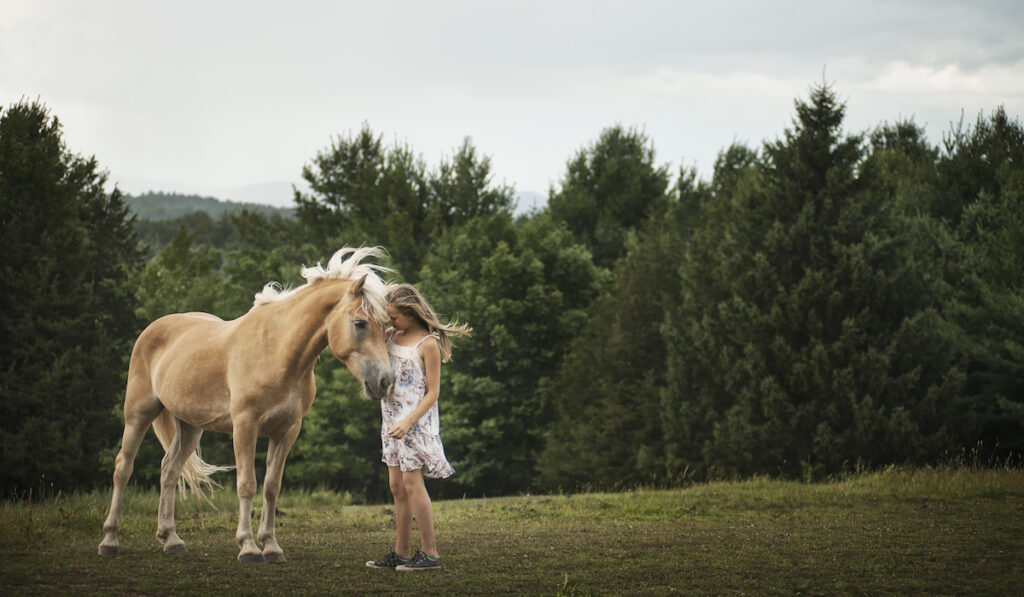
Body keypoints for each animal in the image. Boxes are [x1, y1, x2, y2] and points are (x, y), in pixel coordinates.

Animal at [96, 245, 391, 561]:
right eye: (360, 323)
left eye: (386, 327)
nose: (384, 381)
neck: (277, 351)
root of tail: (153, 328)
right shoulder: (245, 426)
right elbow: (247, 484)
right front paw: (248, 547)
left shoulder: (286, 431)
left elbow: (271, 487)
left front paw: (271, 546)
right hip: (138, 413)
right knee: (123, 467)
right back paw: (109, 540)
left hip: (190, 426)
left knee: (169, 470)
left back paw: (171, 539)